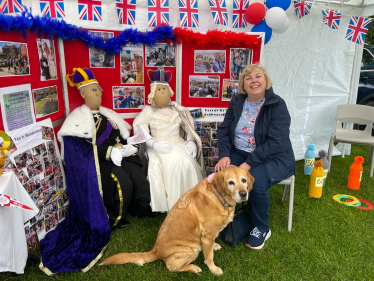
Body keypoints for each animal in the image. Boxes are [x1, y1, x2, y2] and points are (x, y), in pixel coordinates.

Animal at [101, 165, 254, 274]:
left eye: (243, 180)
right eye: (230, 182)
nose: (243, 194)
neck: (219, 197)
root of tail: (155, 250)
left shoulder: (209, 235)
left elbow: (211, 246)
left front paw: (214, 246)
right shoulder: (207, 235)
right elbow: (209, 257)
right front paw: (214, 269)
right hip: (192, 249)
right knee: (171, 267)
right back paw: (193, 268)